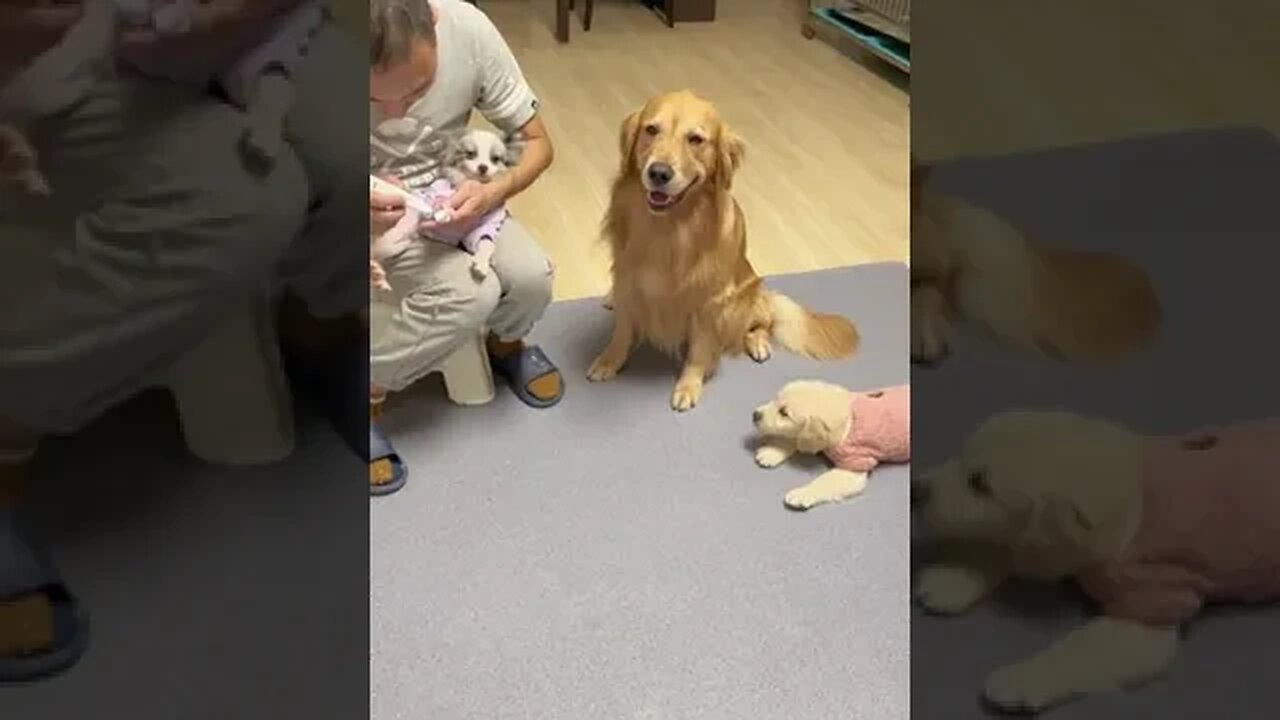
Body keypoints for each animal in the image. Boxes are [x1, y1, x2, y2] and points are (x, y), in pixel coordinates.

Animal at [916, 412, 1280, 707]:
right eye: (961, 456)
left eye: (979, 483)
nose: (916, 490)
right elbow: (1004, 546)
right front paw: (951, 578)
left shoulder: (1152, 601)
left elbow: (1080, 651)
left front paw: (1019, 679)